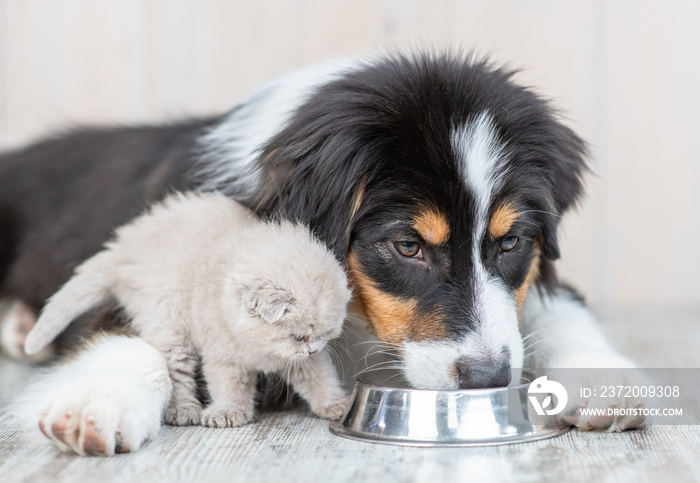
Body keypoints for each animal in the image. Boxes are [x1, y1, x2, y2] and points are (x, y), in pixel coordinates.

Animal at [24, 192, 352, 428]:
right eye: (298, 337)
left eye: (325, 336)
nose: (311, 349)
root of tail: (123, 248)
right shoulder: (223, 357)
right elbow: (229, 387)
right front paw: (228, 412)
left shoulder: (303, 363)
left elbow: (320, 380)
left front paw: (336, 405)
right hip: (167, 323)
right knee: (176, 372)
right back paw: (184, 410)